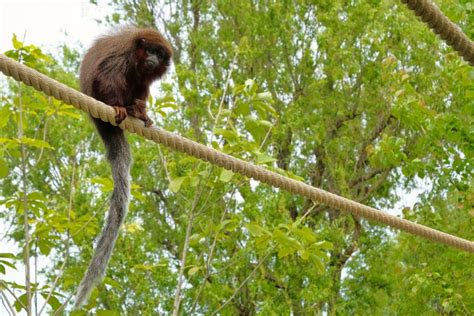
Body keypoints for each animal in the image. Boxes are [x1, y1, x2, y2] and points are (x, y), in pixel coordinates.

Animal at [73, 27, 171, 308]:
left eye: (160, 55)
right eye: (150, 51)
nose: (153, 58)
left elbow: (143, 86)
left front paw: (141, 109)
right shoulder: (123, 57)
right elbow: (108, 75)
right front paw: (118, 104)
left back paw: (136, 111)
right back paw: (122, 107)